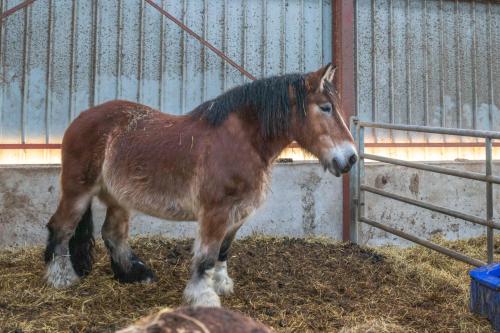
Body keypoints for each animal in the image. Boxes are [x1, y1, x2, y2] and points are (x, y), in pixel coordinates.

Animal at [43, 63, 356, 304]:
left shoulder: (238, 214)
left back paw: (134, 275)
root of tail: (81, 118)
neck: (240, 141)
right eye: (326, 108)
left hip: (119, 198)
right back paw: (61, 278)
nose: (351, 158)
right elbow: (206, 256)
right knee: (61, 227)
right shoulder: (215, 213)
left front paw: (221, 285)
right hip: (78, 191)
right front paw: (203, 298)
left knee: (113, 234)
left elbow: (223, 251)